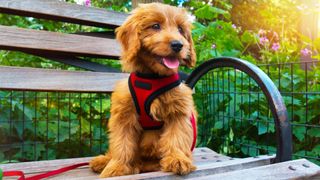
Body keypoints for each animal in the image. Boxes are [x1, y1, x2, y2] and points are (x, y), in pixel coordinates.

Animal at [89, 2, 196, 177]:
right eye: (155, 26)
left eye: (180, 29)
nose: (178, 45)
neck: (152, 78)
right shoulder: (124, 115)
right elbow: (122, 144)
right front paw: (117, 167)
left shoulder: (178, 112)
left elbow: (176, 137)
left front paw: (177, 159)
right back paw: (104, 161)